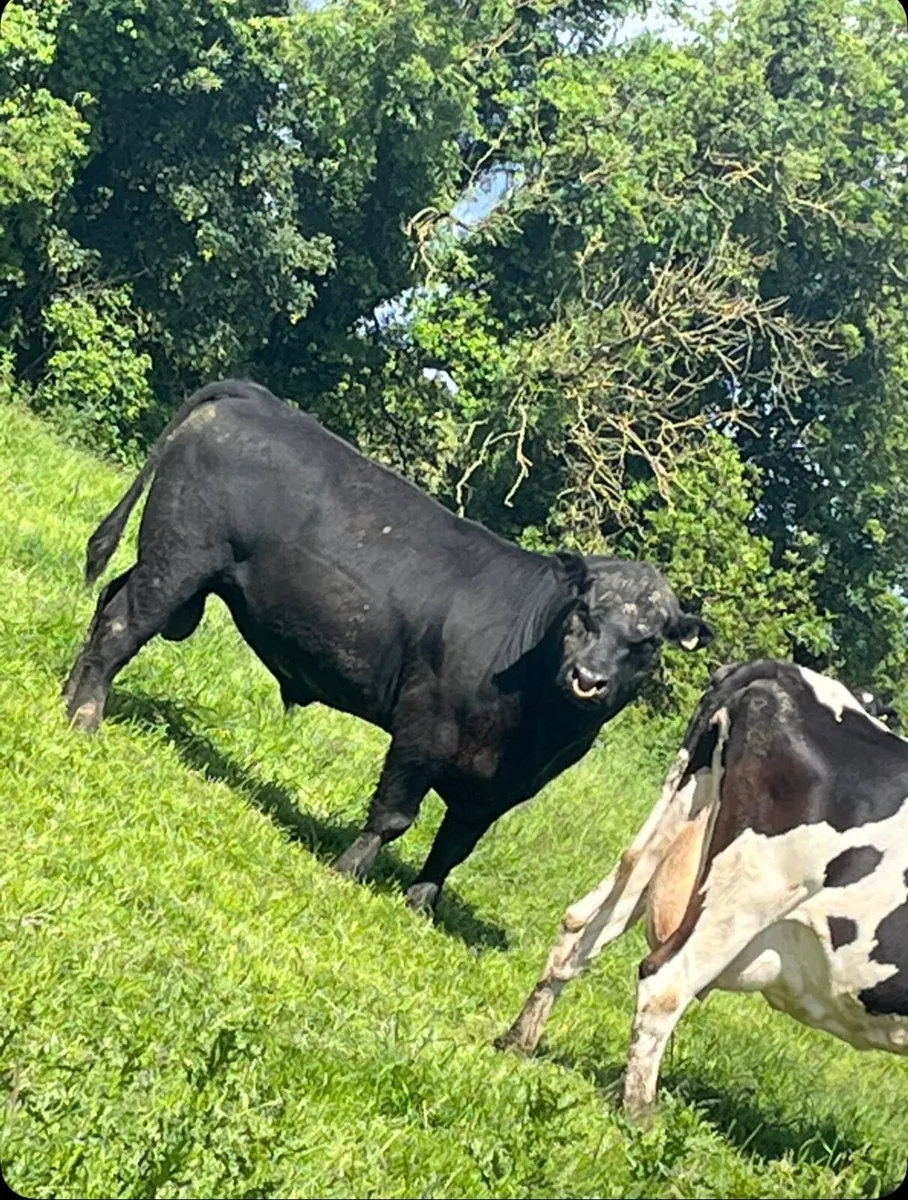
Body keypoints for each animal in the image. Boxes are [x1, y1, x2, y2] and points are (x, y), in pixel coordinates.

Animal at [63, 379, 713, 913]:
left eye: (646, 642)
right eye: (584, 612)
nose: (588, 679)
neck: (531, 728)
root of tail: (257, 398)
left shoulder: (503, 789)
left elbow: (454, 846)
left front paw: (420, 906)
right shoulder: (425, 724)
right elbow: (395, 815)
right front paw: (348, 871)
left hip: (176, 570)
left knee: (108, 604)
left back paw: (68, 693)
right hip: (179, 562)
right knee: (121, 625)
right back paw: (86, 717)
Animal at [496, 659, 908, 1123]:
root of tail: (772, 670)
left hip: (671, 830)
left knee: (579, 930)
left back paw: (519, 1040)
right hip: (745, 896)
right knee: (664, 982)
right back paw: (641, 1115)